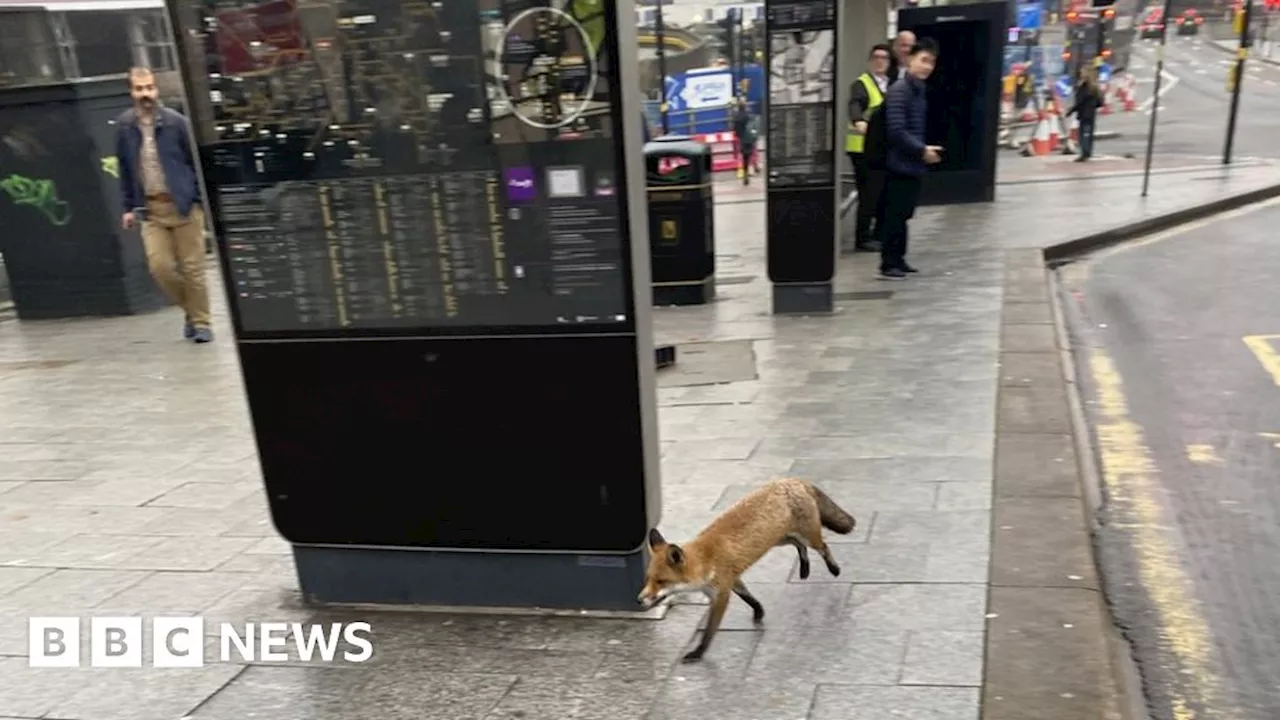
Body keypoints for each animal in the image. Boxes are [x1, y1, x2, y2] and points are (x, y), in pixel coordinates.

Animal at [634, 474, 855, 666]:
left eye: (661, 581)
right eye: (648, 579)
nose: (639, 599)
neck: (706, 560)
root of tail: (791, 480)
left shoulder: (721, 594)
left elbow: (709, 631)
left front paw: (698, 652)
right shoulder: (732, 579)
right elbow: (749, 597)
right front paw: (759, 612)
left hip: (807, 536)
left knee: (822, 546)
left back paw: (834, 568)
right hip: (781, 539)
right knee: (799, 546)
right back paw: (804, 568)